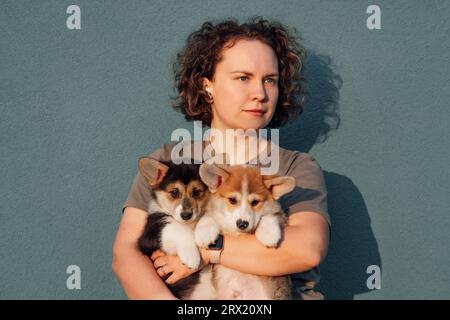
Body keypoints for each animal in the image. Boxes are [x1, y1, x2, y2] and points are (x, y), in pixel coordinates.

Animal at [137, 158, 214, 300]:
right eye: (174, 192)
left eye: (197, 192)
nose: (186, 215)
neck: (190, 224)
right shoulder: (153, 233)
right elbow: (177, 228)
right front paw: (191, 256)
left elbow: (208, 214)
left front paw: (205, 233)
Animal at [194, 162, 296, 300]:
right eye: (232, 200)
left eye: (255, 202)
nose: (242, 224)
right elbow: (208, 216)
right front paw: (204, 233)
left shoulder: (280, 215)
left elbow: (270, 216)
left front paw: (269, 234)